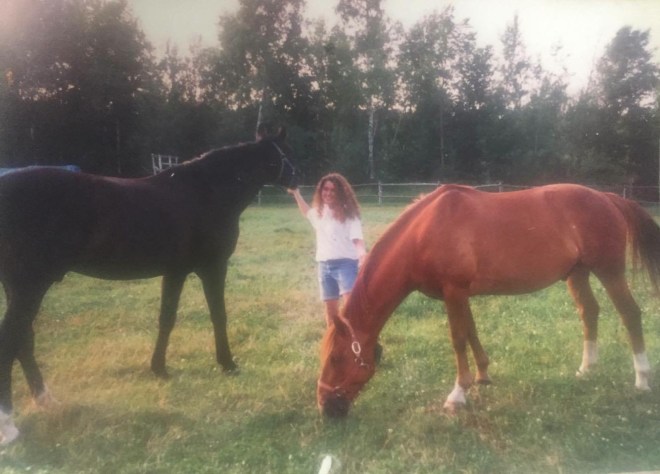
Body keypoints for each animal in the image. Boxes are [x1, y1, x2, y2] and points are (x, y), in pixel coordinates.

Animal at [0, 129, 296, 444]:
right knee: (11, 340)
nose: (297, 177)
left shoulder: (175, 272)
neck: (207, 192)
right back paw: (9, 425)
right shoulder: (213, 269)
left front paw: (159, 368)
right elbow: (219, 316)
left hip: (20, 287)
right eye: (285, 151)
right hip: (30, 286)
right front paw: (227, 363)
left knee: (23, 339)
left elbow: (166, 319)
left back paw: (46, 400)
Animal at [318, 183, 660, 418]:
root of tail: (608, 197)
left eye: (335, 359)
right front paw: (482, 376)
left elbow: (458, 338)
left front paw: (458, 394)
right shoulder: (459, 294)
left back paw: (642, 379)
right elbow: (471, 332)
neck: (424, 232)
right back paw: (587, 368)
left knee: (630, 314)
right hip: (577, 274)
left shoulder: (454, 292)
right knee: (588, 312)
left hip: (609, 271)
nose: (325, 407)